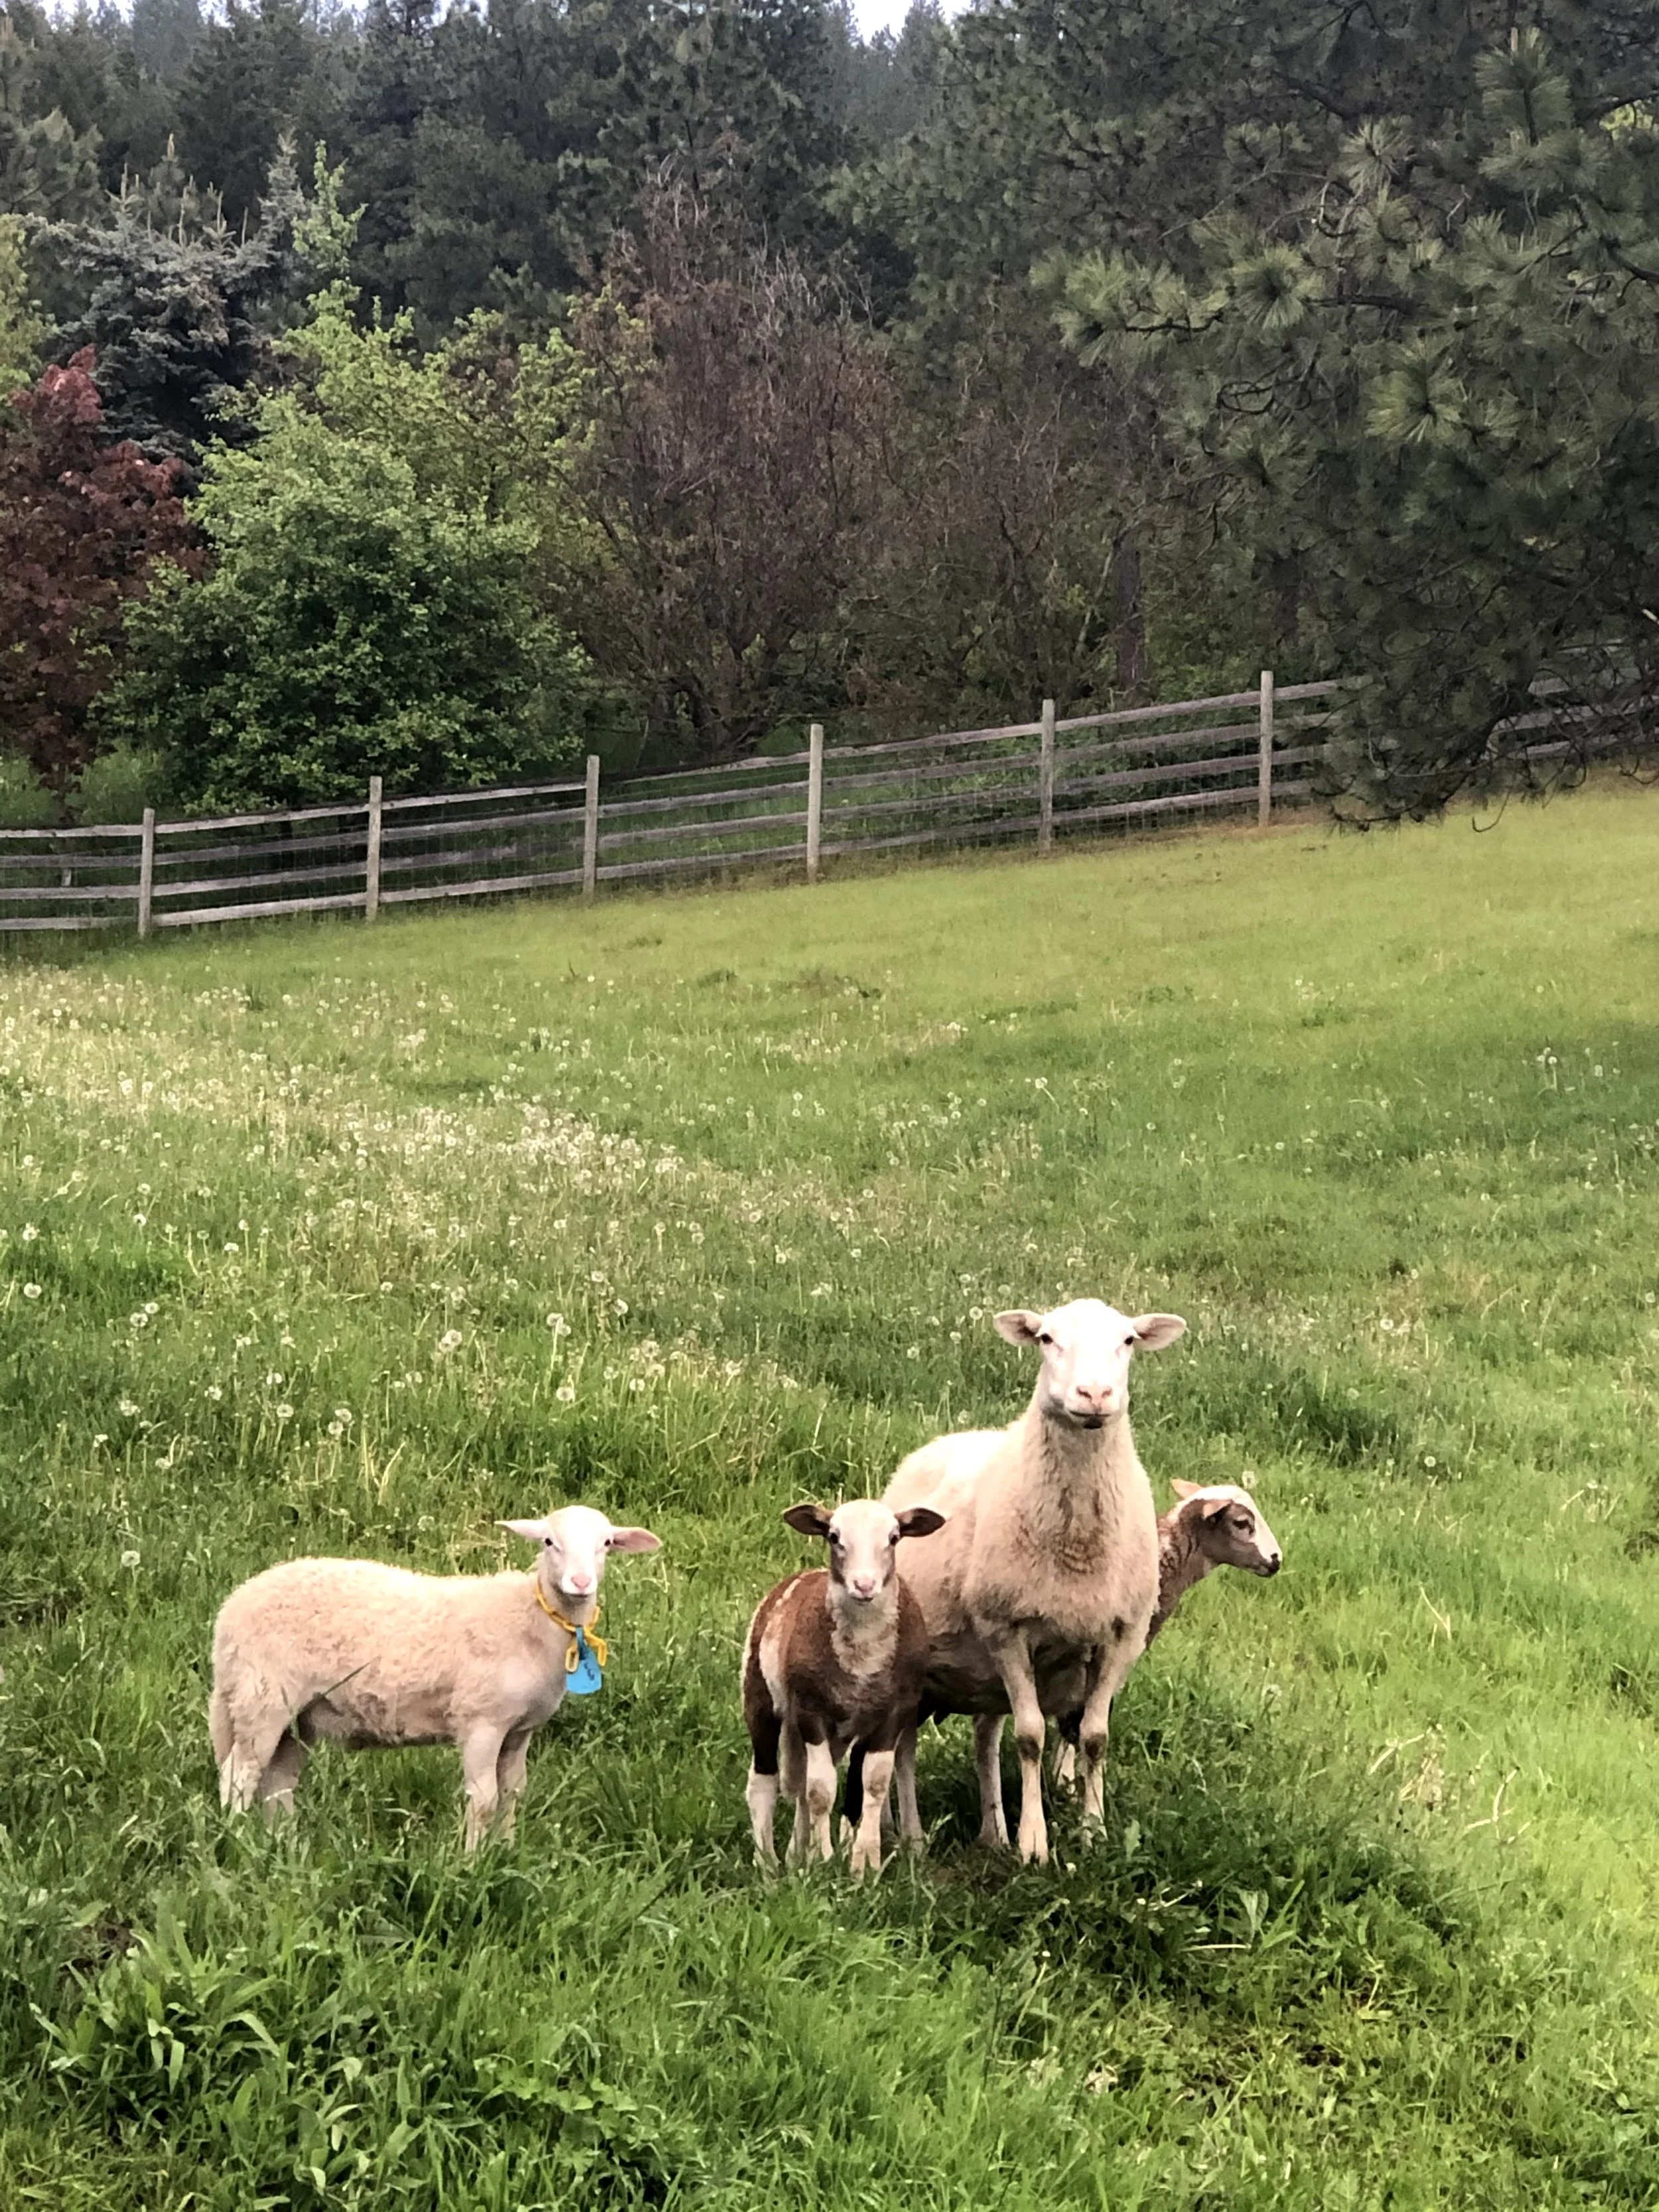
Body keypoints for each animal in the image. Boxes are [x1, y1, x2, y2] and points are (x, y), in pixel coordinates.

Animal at [208, 1504, 662, 1848]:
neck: (531, 1619)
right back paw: (238, 1844)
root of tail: (230, 1610)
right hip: (262, 1696)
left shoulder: (520, 1730)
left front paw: (507, 1850)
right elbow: (484, 1799)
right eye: (549, 1542)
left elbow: (513, 1794)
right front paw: (473, 1861)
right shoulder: (480, 1721)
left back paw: (284, 1845)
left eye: (606, 1544)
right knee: (237, 1777)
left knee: (277, 1781)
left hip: (299, 1716)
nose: (580, 1582)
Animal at [743, 1498, 945, 1877]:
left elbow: (873, 1783)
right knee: (763, 1782)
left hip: (837, 1731)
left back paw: (796, 1854)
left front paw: (864, 1863)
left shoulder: (894, 1712)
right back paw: (768, 1865)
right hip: (760, 1697)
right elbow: (821, 1790)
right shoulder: (810, 1711)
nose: (864, 1585)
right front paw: (822, 1861)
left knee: (802, 1783)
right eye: (834, 1537)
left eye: (894, 1538)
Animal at [879, 1299, 1187, 1865]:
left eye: (1128, 1340)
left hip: (980, 1677)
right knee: (903, 1745)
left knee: (982, 1738)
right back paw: (907, 1835)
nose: (1094, 1395)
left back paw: (990, 1832)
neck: (1079, 1545)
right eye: (1046, 1338)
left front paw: (1092, 1831)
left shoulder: (1122, 1634)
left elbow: (1094, 1736)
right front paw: (1034, 1843)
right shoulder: (1007, 1628)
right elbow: (1030, 1737)